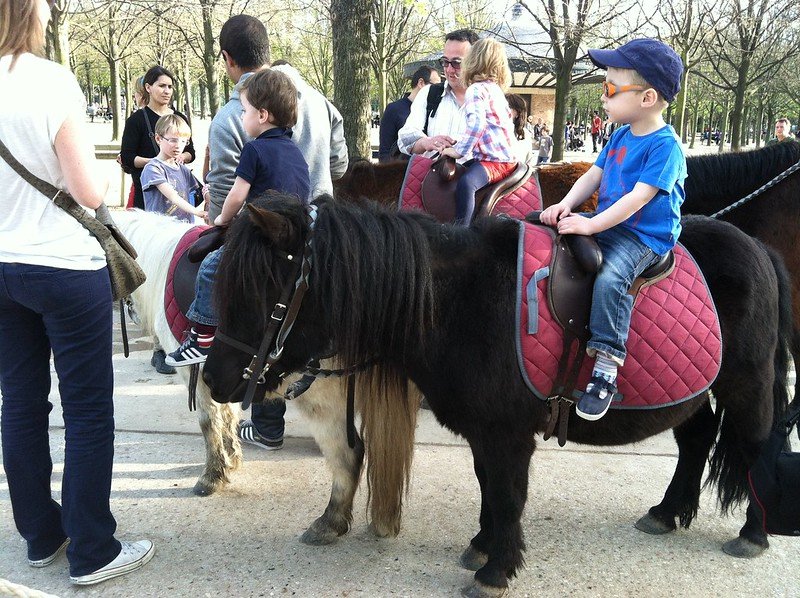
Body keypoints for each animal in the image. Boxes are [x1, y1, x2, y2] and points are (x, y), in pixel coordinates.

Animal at [115, 210, 416, 544]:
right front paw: (232, 458)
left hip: (321, 399)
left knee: (349, 452)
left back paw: (329, 523)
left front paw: (211, 477)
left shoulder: (198, 376)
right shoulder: (223, 373)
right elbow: (227, 414)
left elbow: (208, 423)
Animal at [203, 198, 792, 598]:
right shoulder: (483, 430)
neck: (457, 301)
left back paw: (753, 533)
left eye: (261, 290)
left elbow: (508, 494)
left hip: (747, 385)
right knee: (696, 439)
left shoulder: (508, 433)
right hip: (696, 393)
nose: (213, 379)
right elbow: (489, 486)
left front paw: (497, 569)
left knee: (756, 448)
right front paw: (482, 547)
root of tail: (760, 248)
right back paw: (668, 513)